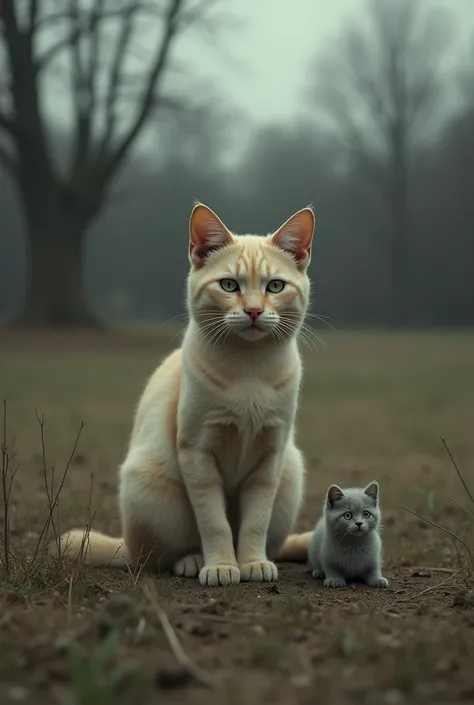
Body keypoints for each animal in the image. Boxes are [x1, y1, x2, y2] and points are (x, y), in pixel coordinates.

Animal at [60, 205, 314, 588]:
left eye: (275, 286)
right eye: (229, 285)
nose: (254, 311)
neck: (249, 370)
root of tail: (127, 545)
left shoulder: (271, 456)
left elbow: (255, 522)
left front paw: (252, 562)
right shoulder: (197, 452)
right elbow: (214, 523)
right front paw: (222, 566)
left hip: (291, 473)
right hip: (151, 489)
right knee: (157, 558)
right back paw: (192, 560)